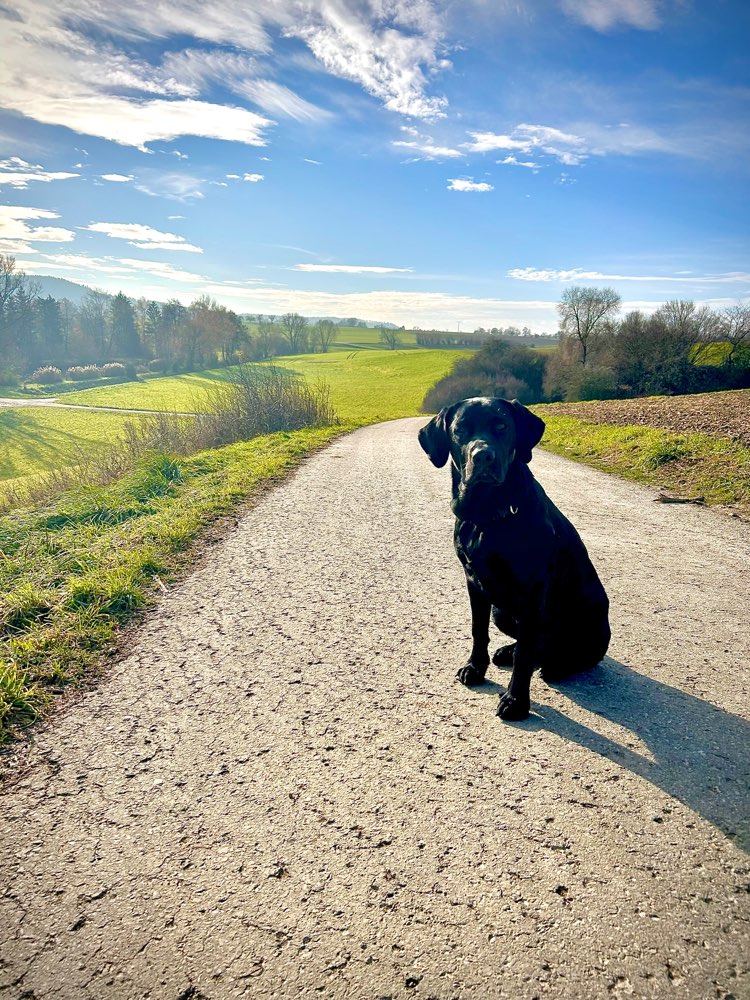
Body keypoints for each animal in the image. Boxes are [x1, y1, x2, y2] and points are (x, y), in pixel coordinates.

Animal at [420, 398, 612, 720]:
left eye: (502, 426)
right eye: (460, 430)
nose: (483, 456)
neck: (490, 515)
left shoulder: (532, 591)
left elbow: (525, 655)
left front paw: (516, 700)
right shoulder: (474, 582)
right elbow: (478, 630)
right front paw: (476, 668)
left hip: (588, 620)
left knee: (576, 655)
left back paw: (557, 667)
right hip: (501, 611)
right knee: (536, 645)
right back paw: (507, 652)